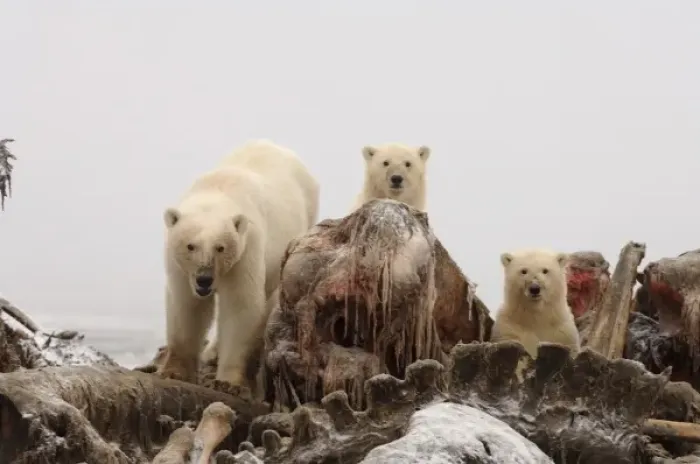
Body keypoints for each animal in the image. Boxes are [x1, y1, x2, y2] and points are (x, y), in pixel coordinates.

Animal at [157, 139, 320, 388]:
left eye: (220, 247)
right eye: (190, 246)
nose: (204, 280)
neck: (217, 189)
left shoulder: (246, 250)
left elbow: (240, 304)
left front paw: (228, 381)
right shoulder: (180, 267)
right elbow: (187, 305)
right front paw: (174, 372)